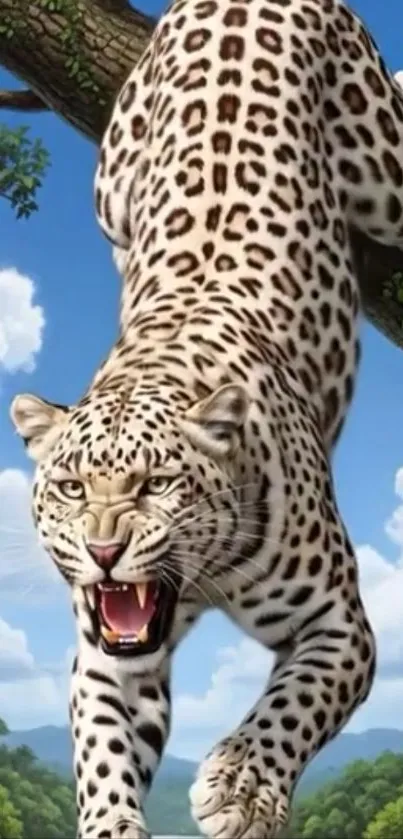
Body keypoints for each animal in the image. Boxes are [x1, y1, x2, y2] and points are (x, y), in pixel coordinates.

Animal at [10, 0, 403, 836]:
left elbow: (297, 700)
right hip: (110, 188)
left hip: (386, 173)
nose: (102, 552)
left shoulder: (341, 626)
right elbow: (101, 753)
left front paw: (243, 786)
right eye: (70, 487)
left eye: (157, 483)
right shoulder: (106, 656)